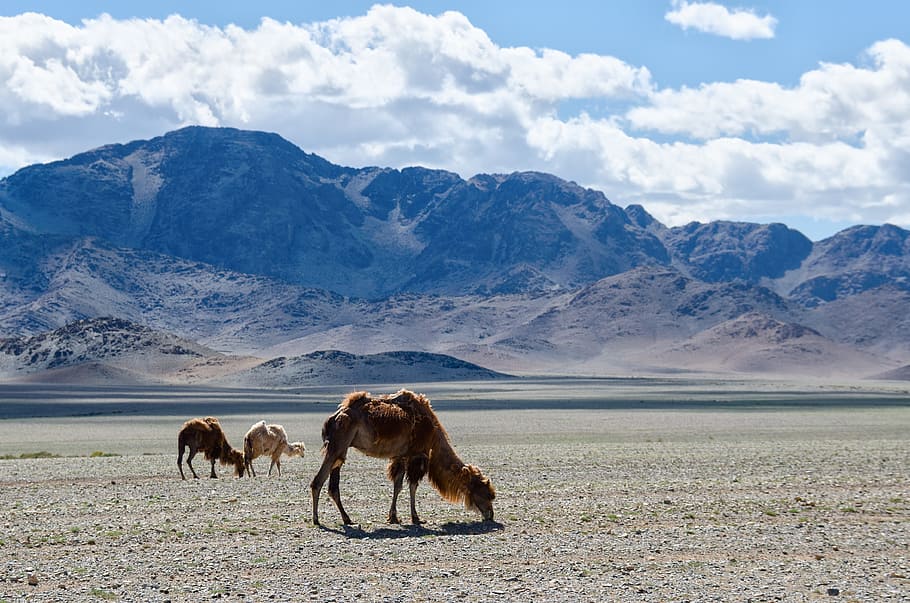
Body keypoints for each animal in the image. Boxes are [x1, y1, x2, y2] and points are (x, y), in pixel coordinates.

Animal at [310, 389, 495, 526]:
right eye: (486, 493)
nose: (490, 515)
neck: (434, 433)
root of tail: (333, 418)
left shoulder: (401, 455)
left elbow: (397, 485)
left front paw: (393, 517)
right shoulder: (417, 454)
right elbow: (413, 486)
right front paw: (416, 518)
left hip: (340, 448)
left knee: (333, 485)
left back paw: (346, 519)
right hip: (338, 445)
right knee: (318, 481)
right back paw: (317, 519)